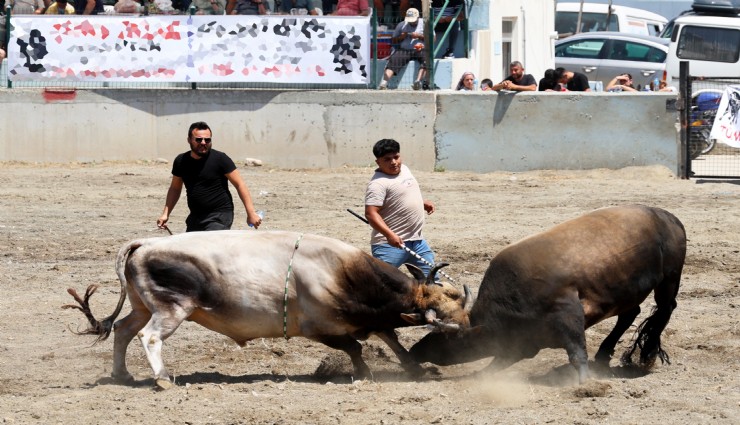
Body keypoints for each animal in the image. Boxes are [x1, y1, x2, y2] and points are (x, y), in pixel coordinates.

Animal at [408, 204, 684, 382]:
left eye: (445, 338)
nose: (414, 351)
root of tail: (669, 217)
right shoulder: (522, 344)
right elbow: (495, 366)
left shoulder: (567, 311)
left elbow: (576, 352)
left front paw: (586, 383)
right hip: (625, 289)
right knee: (630, 314)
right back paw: (605, 354)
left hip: (670, 277)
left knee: (665, 309)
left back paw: (646, 354)